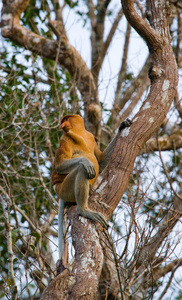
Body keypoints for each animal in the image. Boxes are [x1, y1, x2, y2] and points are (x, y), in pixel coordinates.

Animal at [52, 113, 132, 258]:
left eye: (66, 119)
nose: (62, 125)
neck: (80, 133)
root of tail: (58, 191)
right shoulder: (65, 140)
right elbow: (60, 165)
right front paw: (86, 161)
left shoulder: (90, 137)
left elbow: (100, 161)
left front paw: (122, 126)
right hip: (65, 189)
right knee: (81, 170)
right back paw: (84, 210)